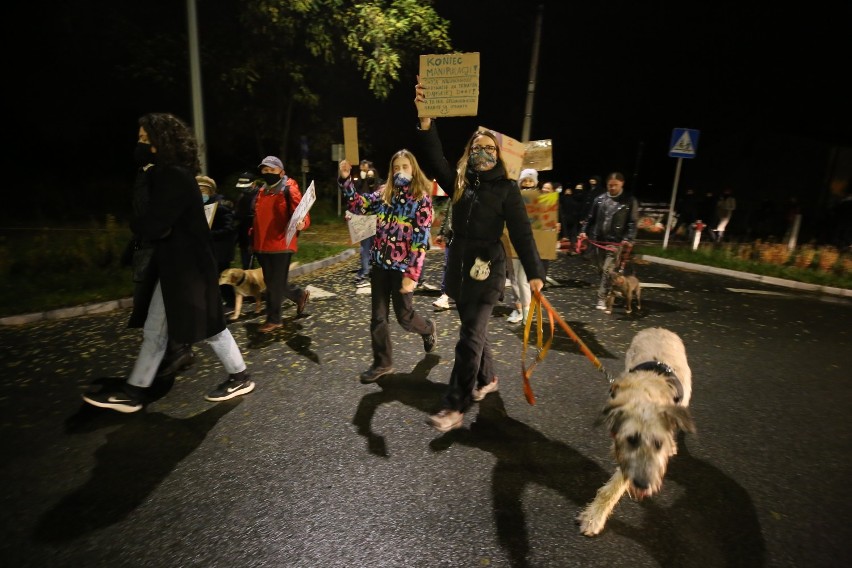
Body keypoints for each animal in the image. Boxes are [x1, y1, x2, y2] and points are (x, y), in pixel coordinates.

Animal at [576, 326, 696, 536]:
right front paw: (593, 516)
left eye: (658, 444)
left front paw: (594, 517)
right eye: (631, 440)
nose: (643, 485)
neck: (646, 394)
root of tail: (659, 328)